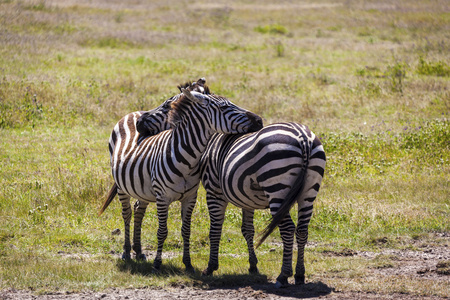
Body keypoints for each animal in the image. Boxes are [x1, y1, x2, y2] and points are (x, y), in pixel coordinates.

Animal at [96, 81, 262, 272]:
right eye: (224, 107)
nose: (259, 120)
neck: (188, 160)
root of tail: (133, 113)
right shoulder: (162, 197)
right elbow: (162, 231)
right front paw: (157, 263)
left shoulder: (190, 197)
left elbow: (186, 230)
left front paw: (188, 263)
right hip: (122, 185)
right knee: (127, 213)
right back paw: (126, 252)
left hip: (142, 188)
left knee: (138, 211)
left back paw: (138, 251)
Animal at [136, 81, 324, 288]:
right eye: (226, 106)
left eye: (166, 106)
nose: (138, 122)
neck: (208, 141)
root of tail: (302, 137)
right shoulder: (247, 198)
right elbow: (248, 230)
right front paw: (253, 266)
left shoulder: (214, 191)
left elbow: (215, 229)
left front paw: (211, 267)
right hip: (308, 192)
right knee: (302, 230)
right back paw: (299, 275)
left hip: (277, 190)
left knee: (288, 229)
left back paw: (283, 275)